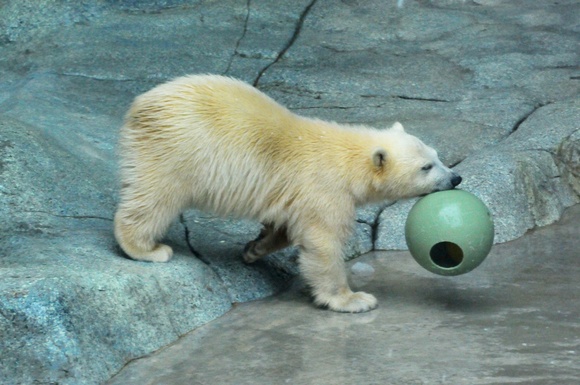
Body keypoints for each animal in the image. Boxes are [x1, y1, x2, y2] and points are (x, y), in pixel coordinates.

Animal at [114, 74, 462, 312]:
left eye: (437, 157)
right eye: (426, 167)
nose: (456, 178)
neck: (347, 158)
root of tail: (140, 105)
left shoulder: (296, 195)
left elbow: (285, 226)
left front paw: (254, 248)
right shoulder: (325, 188)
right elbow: (322, 242)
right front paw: (353, 299)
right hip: (177, 150)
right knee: (156, 197)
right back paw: (147, 248)